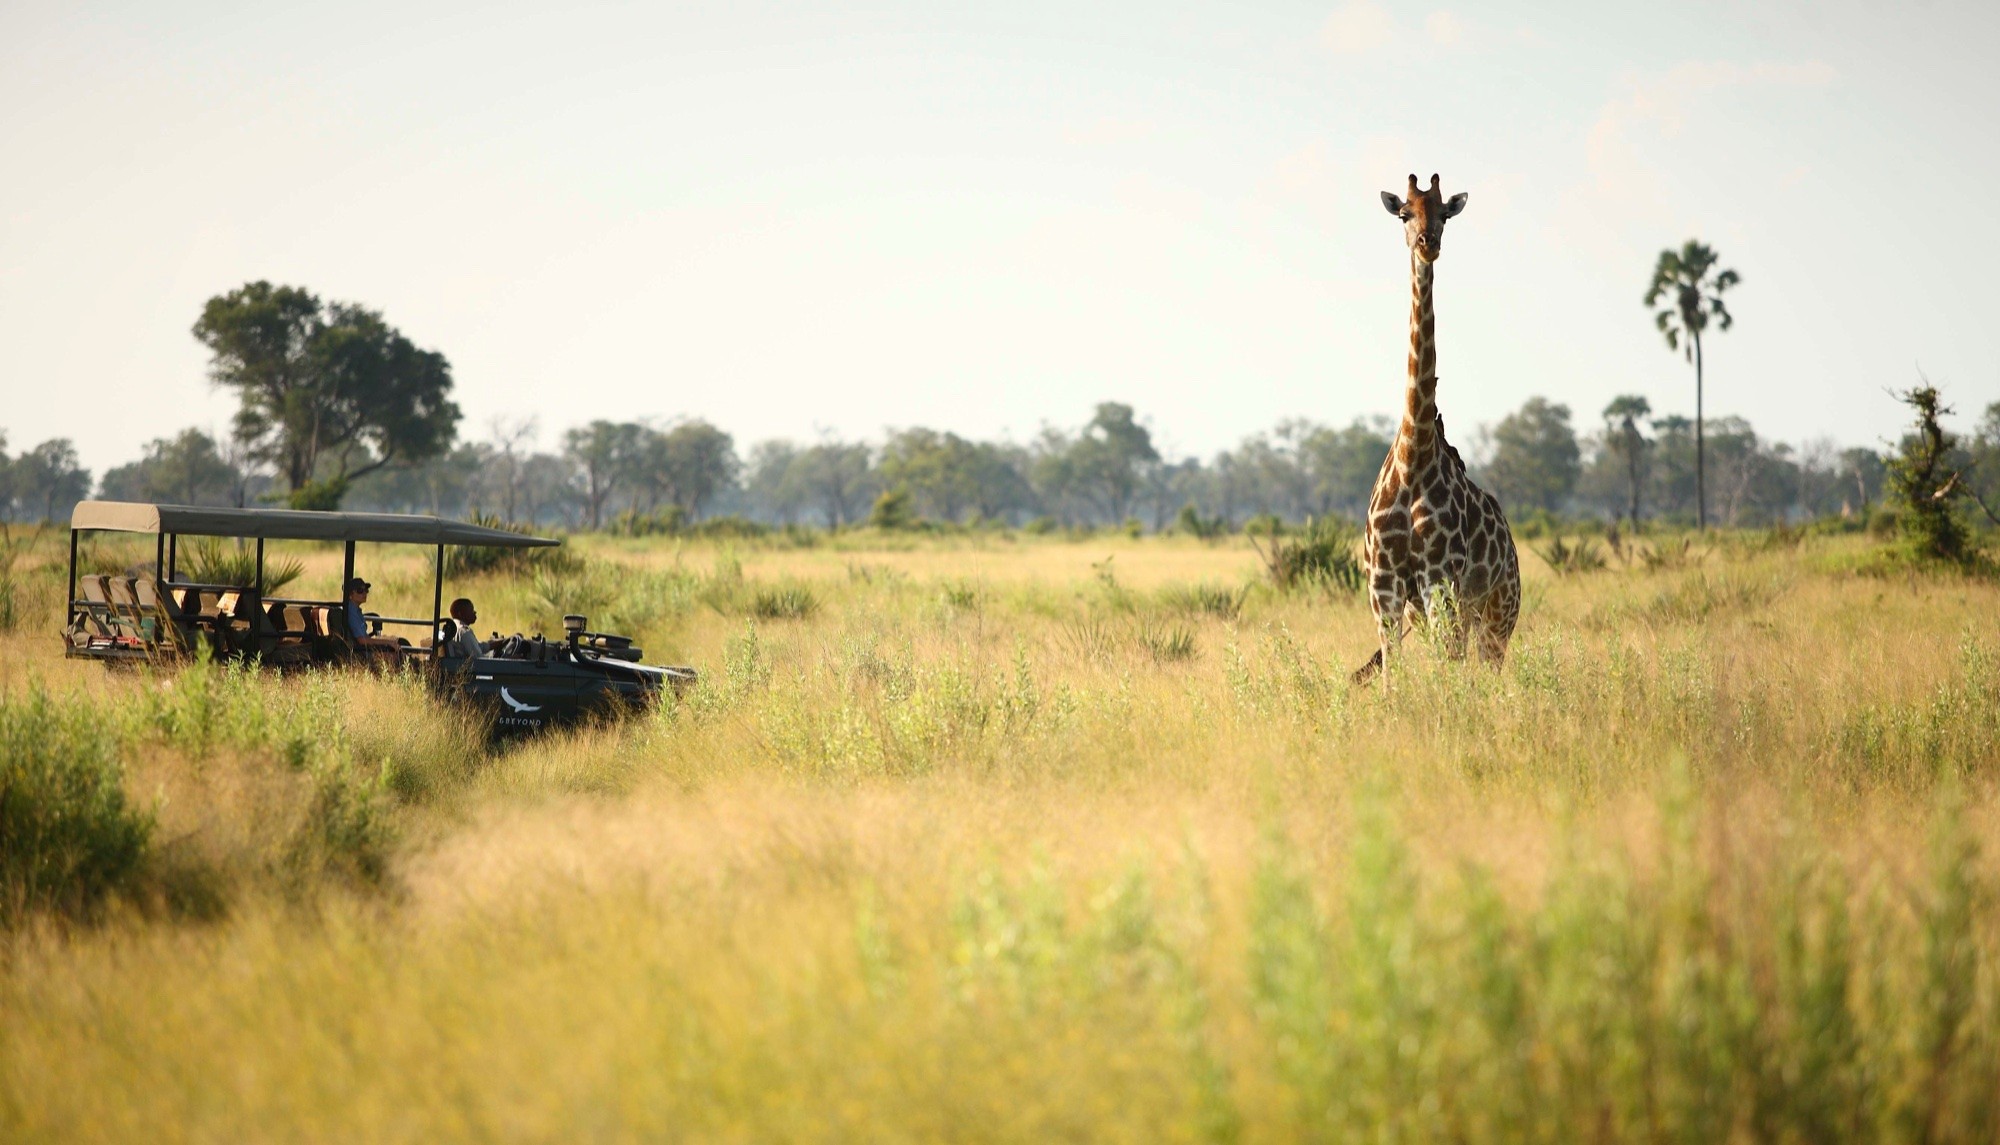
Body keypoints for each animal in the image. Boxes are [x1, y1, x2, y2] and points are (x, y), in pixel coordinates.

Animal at [1353, 173, 1520, 683]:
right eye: (1405, 214)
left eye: (1444, 213)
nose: (1428, 244)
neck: (1414, 454)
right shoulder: (1385, 587)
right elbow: (1391, 673)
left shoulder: (1438, 581)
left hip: (1497, 611)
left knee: (1486, 665)